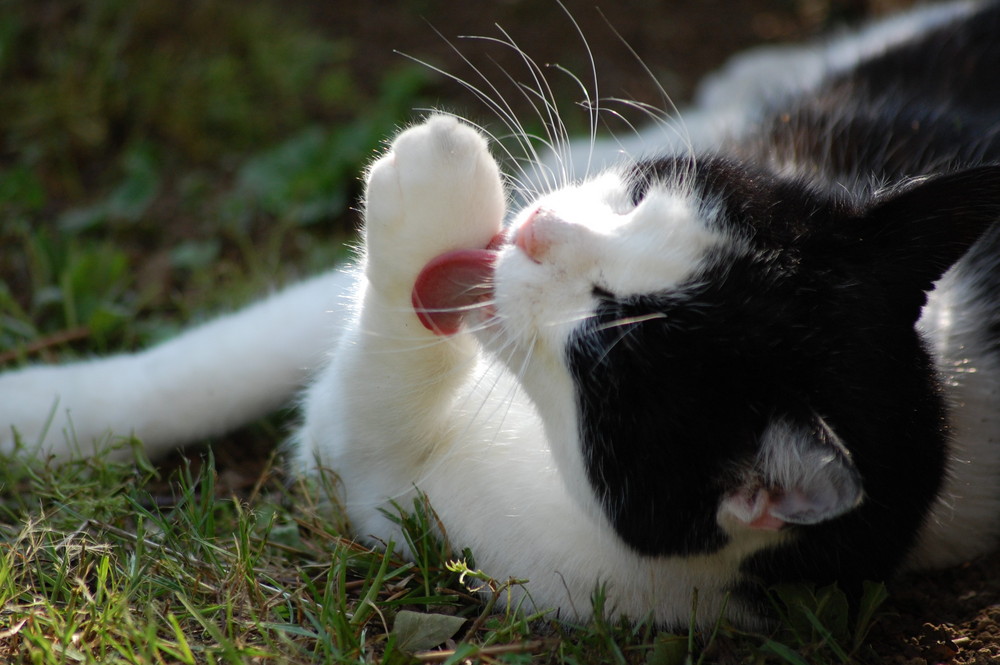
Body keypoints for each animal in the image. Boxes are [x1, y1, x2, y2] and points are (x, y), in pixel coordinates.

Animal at [1, 0, 1000, 628]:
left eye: (606, 334)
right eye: (645, 197)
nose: (538, 230)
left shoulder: (406, 494)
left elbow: (362, 390)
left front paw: (433, 180)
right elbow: (214, 360)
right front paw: (39, 414)